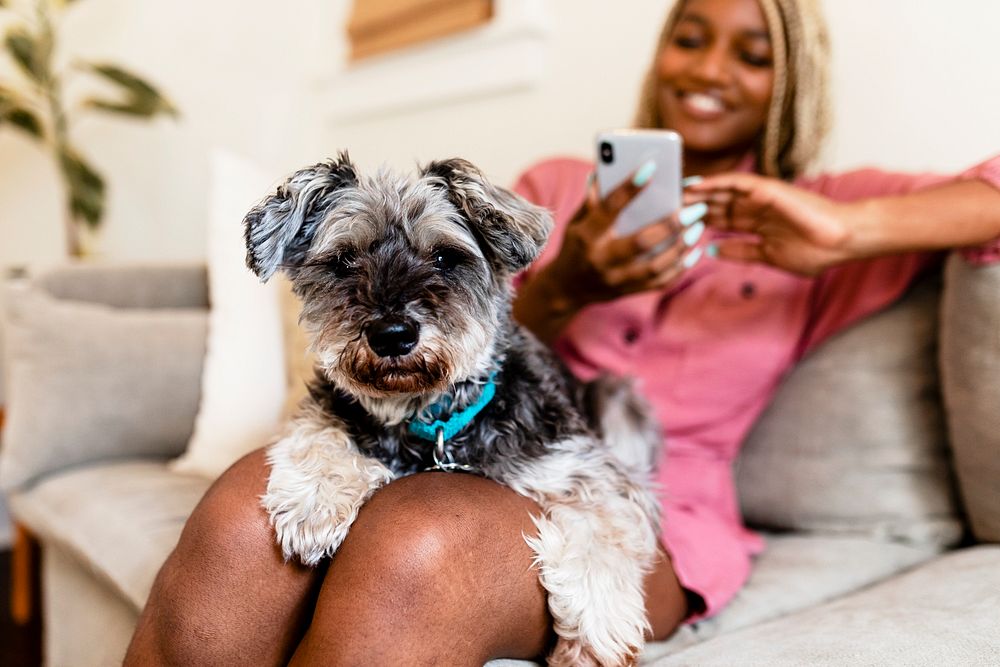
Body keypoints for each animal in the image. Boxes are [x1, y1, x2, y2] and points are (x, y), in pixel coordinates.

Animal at [242, 154, 664, 664]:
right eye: (344, 260)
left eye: (444, 256)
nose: (392, 335)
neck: (429, 417)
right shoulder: (330, 407)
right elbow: (321, 433)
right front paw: (313, 505)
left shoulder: (584, 468)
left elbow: (604, 530)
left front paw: (597, 633)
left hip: (617, 397)